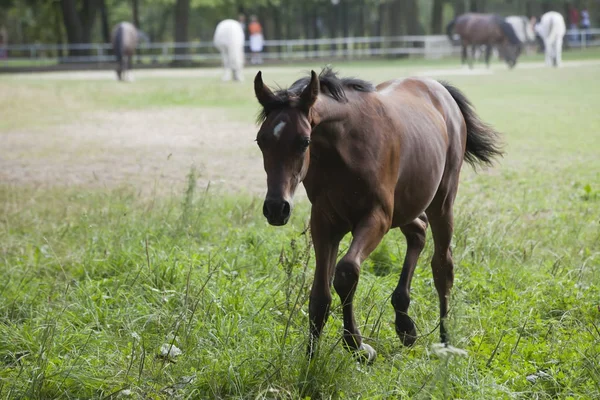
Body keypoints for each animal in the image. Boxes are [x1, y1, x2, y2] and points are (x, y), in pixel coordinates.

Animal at [255, 68, 504, 362]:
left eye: (304, 141)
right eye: (261, 140)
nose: (275, 207)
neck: (345, 148)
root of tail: (439, 89)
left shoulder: (378, 218)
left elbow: (346, 272)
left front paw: (358, 346)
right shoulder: (325, 222)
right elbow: (319, 296)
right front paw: (310, 358)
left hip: (441, 201)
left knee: (442, 265)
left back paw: (444, 342)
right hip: (408, 204)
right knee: (418, 231)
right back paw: (405, 323)